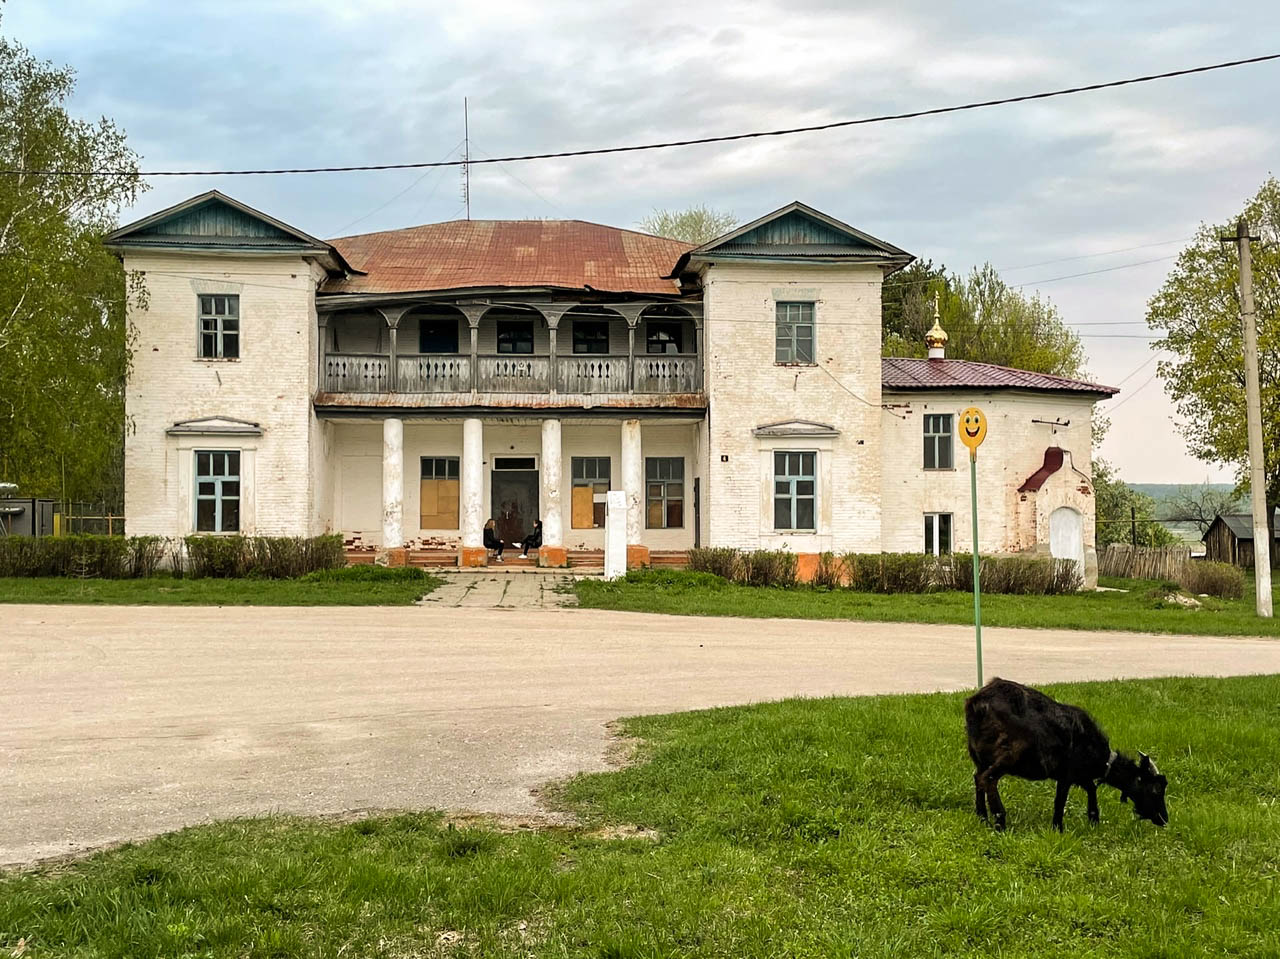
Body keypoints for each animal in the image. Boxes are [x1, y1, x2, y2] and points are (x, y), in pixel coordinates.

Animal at [962, 670, 1167, 829]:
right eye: (1155, 789)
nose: (1164, 819)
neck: (1101, 758)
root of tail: (978, 703)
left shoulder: (1080, 775)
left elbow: (1091, 789)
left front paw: (1094, 821)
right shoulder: (1067, 774)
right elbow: (1060, 802)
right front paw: (1057, 828)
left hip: (980, 755)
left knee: (978, 777)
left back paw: (982, 818)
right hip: (1009, 754)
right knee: (988, 778)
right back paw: (1000, 823)